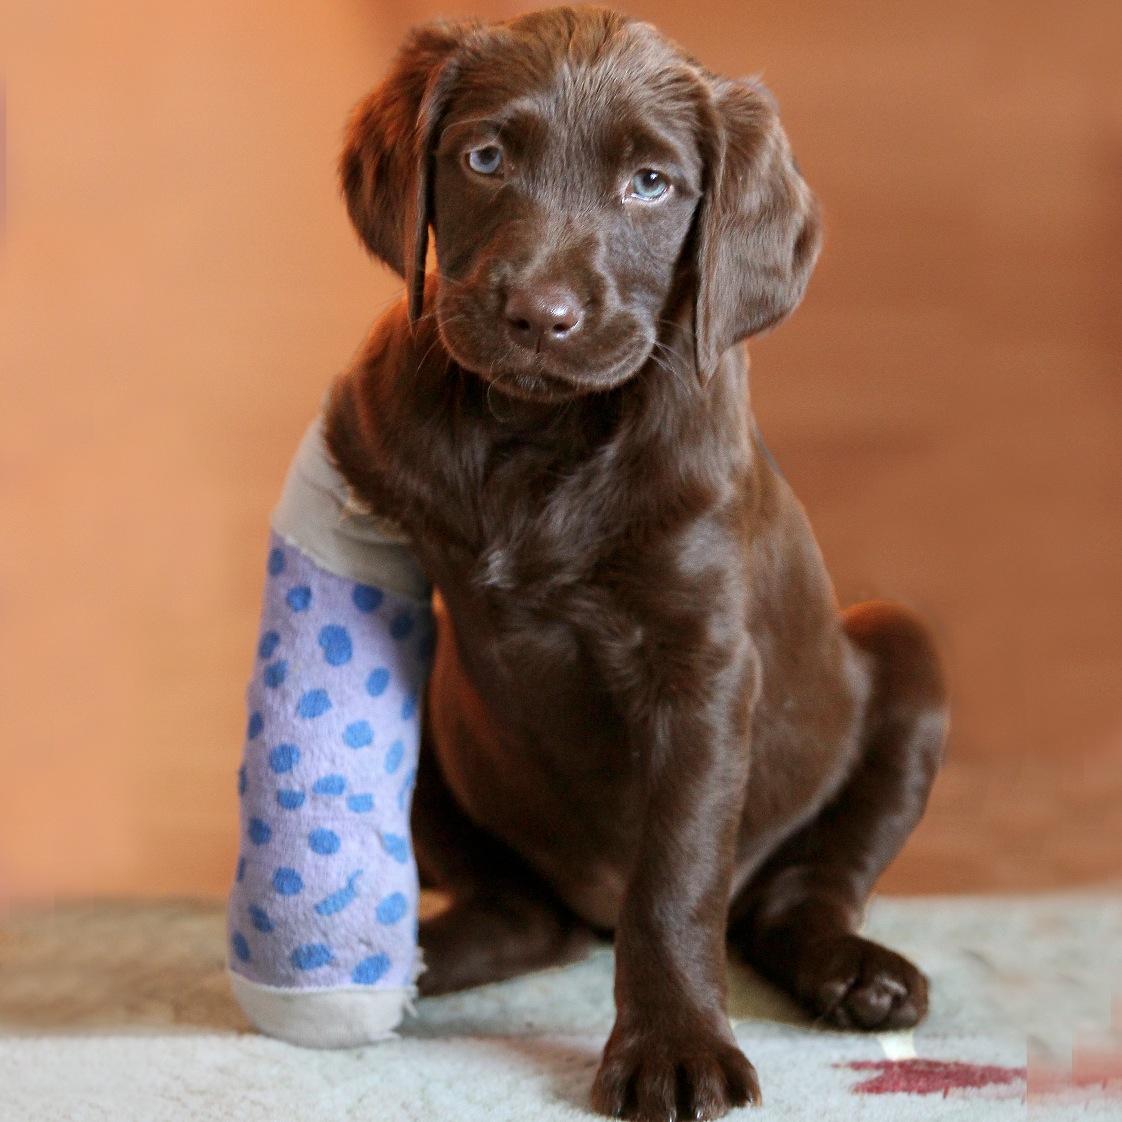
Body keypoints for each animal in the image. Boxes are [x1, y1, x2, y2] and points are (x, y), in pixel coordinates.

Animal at [325, 4, 946, 1117]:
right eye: (484, 158)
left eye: (651, 184)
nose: (539, 314)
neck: (538, 431)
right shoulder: (362, 431)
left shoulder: (700, 666)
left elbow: (676, 875)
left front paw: (673, 1046)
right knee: (525, 918)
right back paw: (412, 963)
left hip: (900, 653)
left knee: (795, 893)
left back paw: (855, 973)